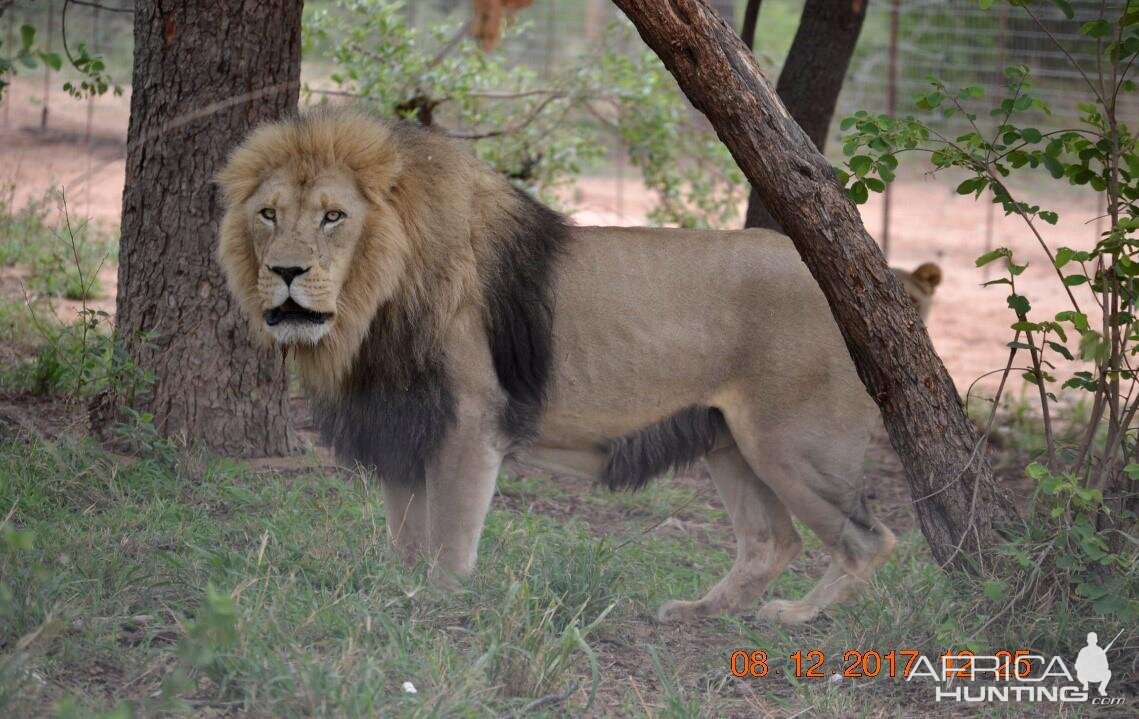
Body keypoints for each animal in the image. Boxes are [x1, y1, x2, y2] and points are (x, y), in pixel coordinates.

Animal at [215, 108, 897, 624]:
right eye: (268, 214)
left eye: (334, 216)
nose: (285, 272)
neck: (373, 304)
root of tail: (868, 283)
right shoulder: (402, 424)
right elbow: (407, 535)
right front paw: (399, 593)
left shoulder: (469, 426)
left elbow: (449, 539)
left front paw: (440, 603)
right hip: (728, 441)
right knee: (772, 540)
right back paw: (700, 611)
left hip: (793, 446)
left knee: (869, 539)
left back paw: (795, 616)